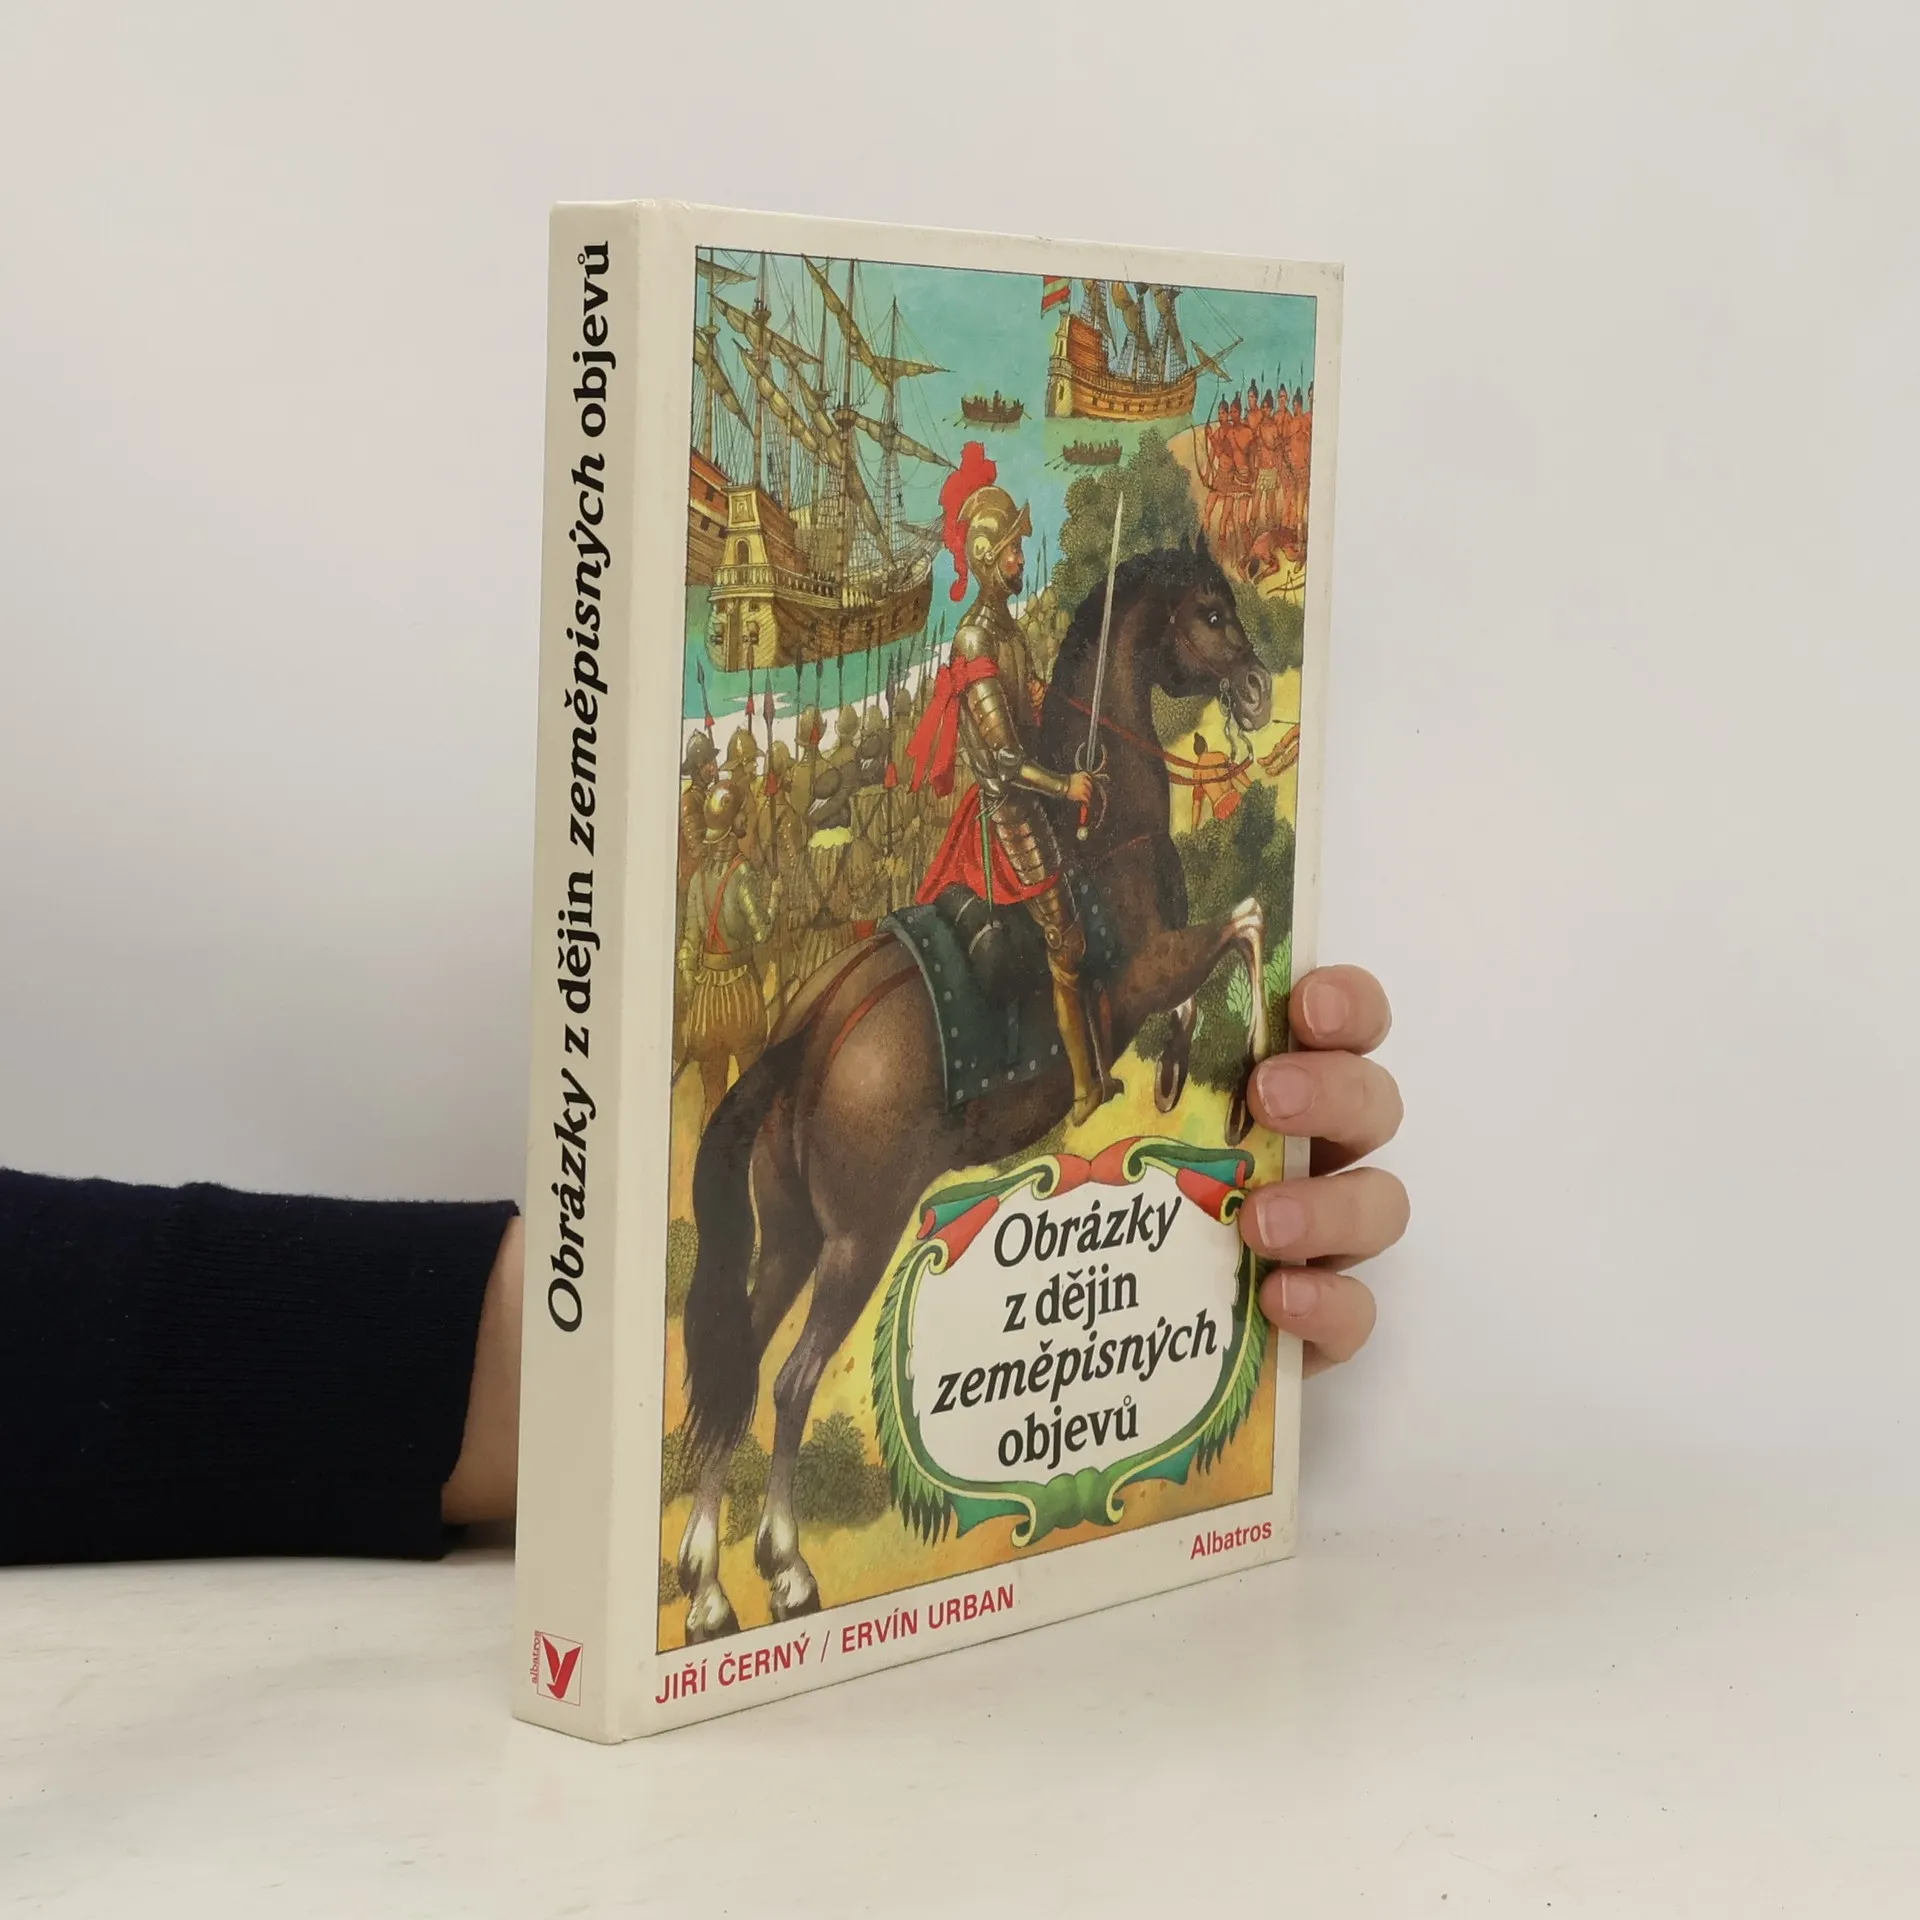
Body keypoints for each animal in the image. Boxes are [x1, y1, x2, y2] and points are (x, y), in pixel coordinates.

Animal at [675, 538, 1277, 1640]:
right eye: (1210, 613)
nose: (1256, 691)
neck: (1102, 833)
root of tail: (808, 1034)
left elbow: (1213, 958)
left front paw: (1184, 1067)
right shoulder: (1146, 968)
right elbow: (1244, 925)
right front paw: (1247, 1067)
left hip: (790, 1240)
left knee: (740, 1374)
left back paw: (704, 1592)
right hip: (858, 1241)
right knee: (789, 1384)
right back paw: (786, 1571)